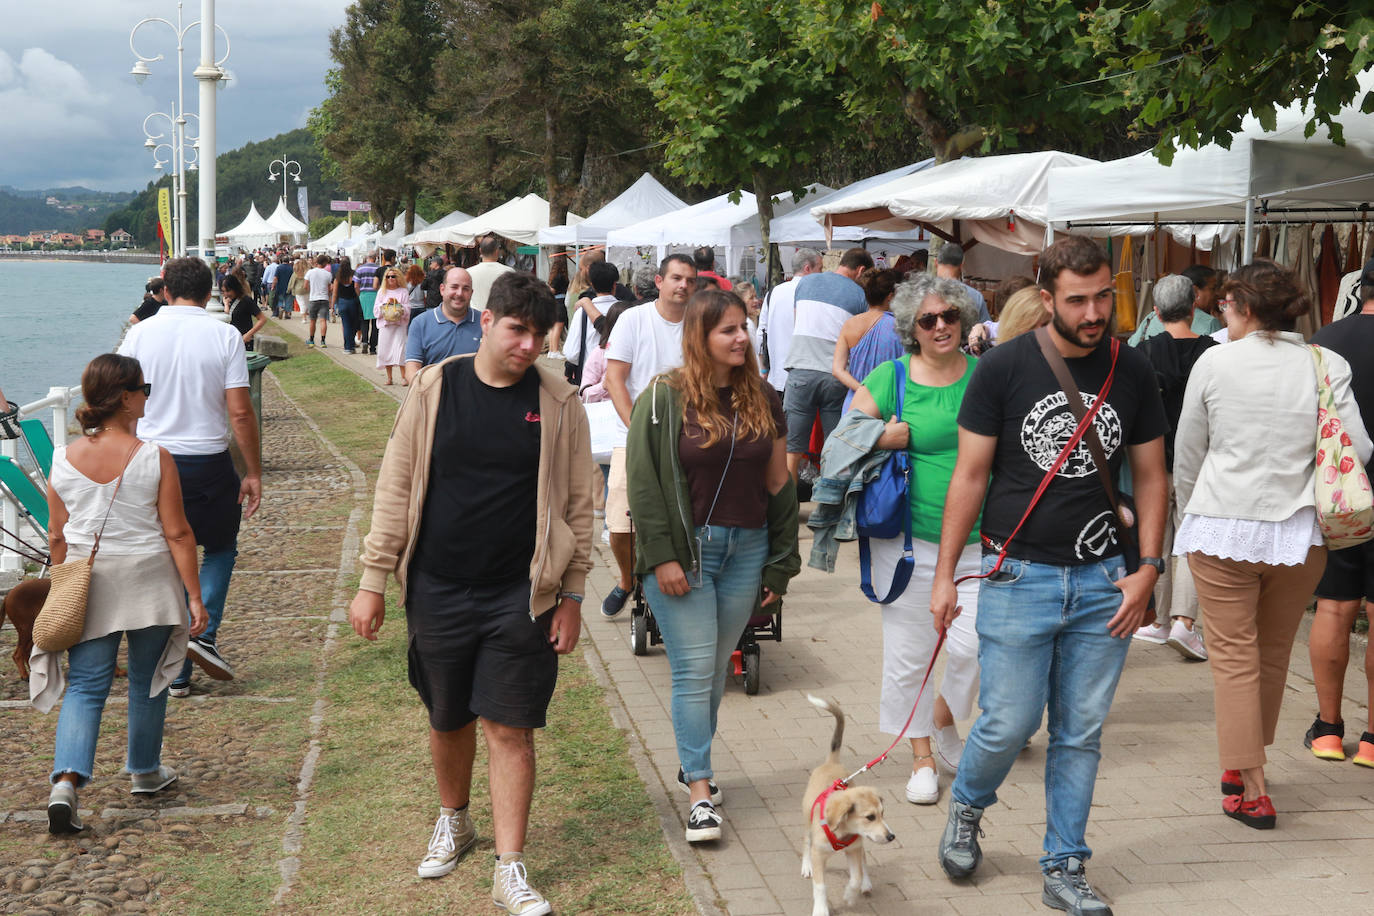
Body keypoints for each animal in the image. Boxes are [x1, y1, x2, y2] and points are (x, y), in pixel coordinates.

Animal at [802, 694, 895, 916]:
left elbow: (856, 877)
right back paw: (806, 866)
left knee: (864, 861)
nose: (891, 836)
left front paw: (850, 896)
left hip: (860, 844)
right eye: (870, 817)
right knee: (805, 841)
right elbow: (820, 886)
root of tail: (831, 762)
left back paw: (866, 884)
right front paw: (821, 909)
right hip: (807, 820)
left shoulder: (853, 849)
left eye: (883, 814)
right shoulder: (818, 855)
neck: (842, 832)